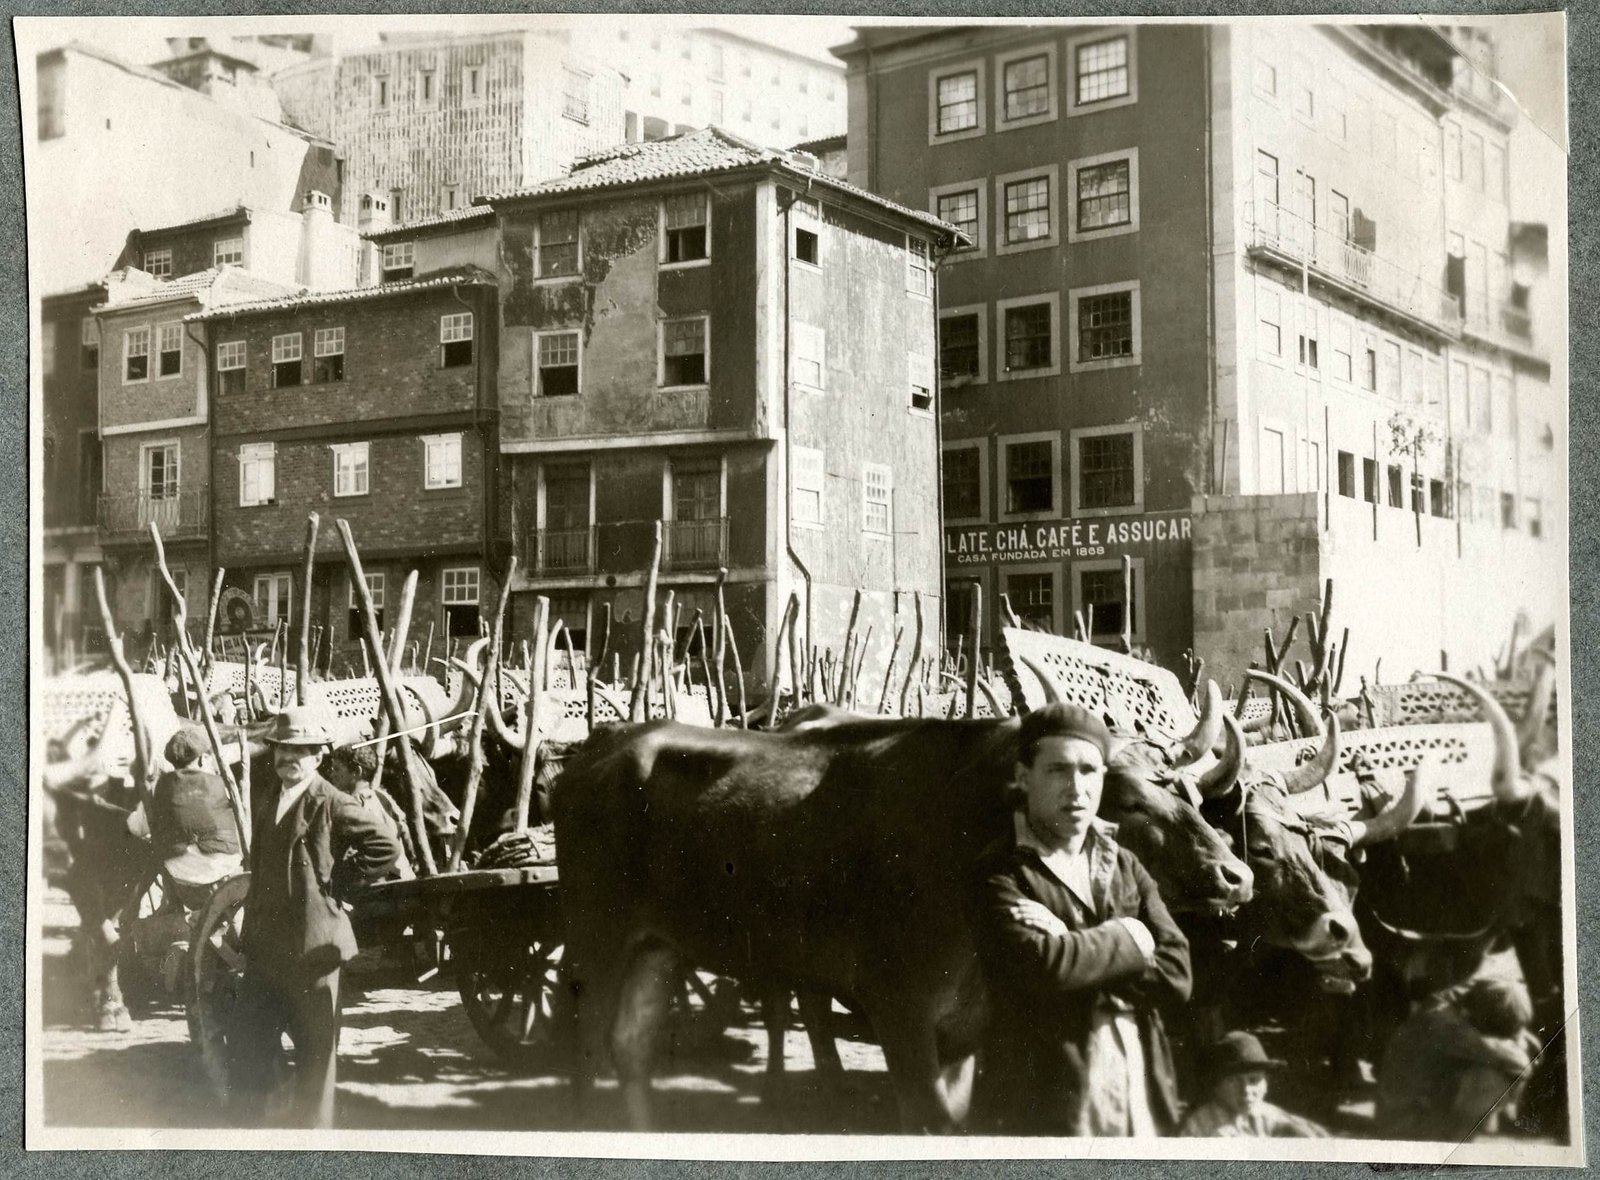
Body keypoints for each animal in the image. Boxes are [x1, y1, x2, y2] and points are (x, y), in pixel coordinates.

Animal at [550, 674, 1255, 1132]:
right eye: (1128, 799)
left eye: (1192, 796)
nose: (1237, 874)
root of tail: (597, 749)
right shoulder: (897, 1008)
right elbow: (930, 1122)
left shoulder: (966, 1028)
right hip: (594, 935)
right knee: (584, 1042)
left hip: (658, 945)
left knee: (631, 1047)